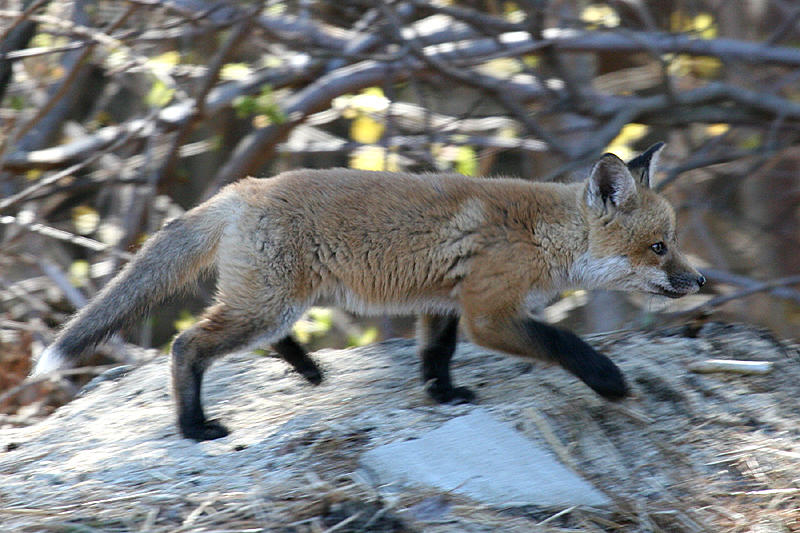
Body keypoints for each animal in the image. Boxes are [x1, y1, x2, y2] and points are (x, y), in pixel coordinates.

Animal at [32, 143, 708, 438]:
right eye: (660, 247)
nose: (700, 279)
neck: (545, 237)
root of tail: (245, 187)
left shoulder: (445, 304)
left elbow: (435, 356)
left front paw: (444, 396)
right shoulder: (490, 313)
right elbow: (566, 343)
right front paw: (610, 381)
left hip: (276, 302)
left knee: (252, 339)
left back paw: (305, 369)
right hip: (268, 303)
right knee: (187, 345)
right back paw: (194, 426)